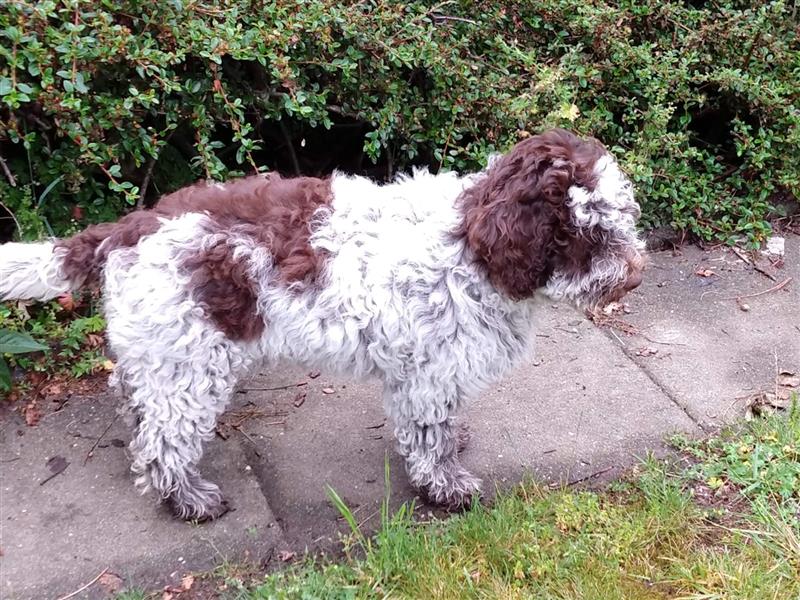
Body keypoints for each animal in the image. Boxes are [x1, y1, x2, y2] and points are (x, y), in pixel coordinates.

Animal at [0, 127, 644, 520]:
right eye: (589, 230)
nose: (636, 274)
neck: (471, 244)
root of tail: (129, 227)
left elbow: (439, 424)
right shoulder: (429, 371)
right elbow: (429, 434)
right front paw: (445, 487)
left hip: (161, 354)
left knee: (138, 406)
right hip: (189, 361)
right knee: (162, 440)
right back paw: (188, 500)